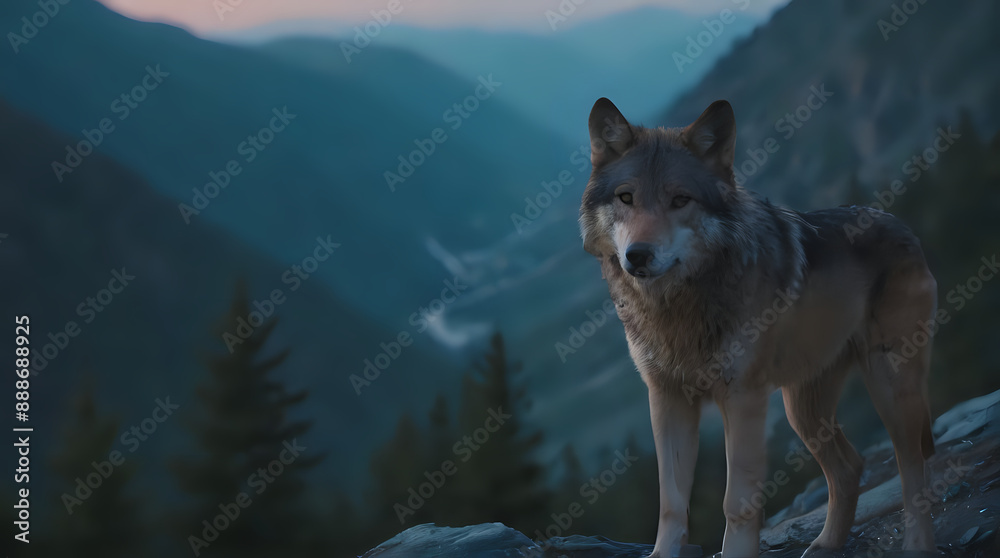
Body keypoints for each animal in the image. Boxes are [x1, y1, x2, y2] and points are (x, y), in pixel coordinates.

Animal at [579, 98, 937, 558]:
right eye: (626, 197)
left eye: (680, 200)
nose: (637, 255)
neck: (678, 308)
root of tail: (901, 224)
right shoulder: (666, 398)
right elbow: (671, 502)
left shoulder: (742, 398)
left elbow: (737, 502)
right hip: (801, 408)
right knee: (850, 466)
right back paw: (826, 544)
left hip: (889, 385)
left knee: (912, 464)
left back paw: (917, 544)